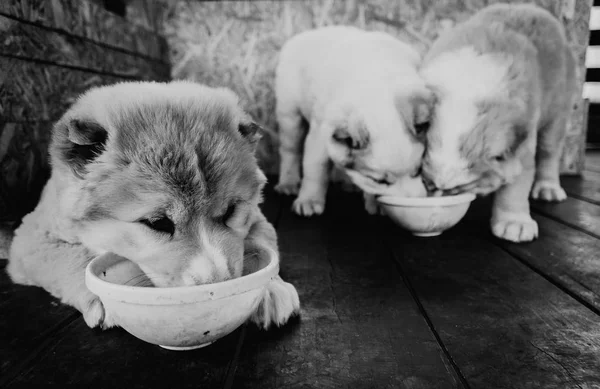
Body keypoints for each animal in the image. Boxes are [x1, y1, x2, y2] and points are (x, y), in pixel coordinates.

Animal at [7, 80, 300, 328]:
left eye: (231, 211)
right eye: (157, 223)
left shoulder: (258, 218)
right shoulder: (31, 238)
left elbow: (262, 245)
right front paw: (103, 298)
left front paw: (270, 289)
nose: (218, 287)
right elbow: (71, 258)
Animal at [274, 25, 428, 217]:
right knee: (290, 150)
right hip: (289, 114)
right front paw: (309, 200)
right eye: (381, 181)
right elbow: (315, 170)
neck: (377, 94)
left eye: (419, 171)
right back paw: (288, 183)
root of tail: (309, 33)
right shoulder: (320, 137)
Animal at [418, 4, 576, 242]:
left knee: (549, 154)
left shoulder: (521, 150)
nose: (437, 192)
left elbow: (514, 189)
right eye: (427, 181)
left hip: (556, 114)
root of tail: (534, 8)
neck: (468, 85)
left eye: (461, 187)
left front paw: (514, 222)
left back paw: (548, 188)